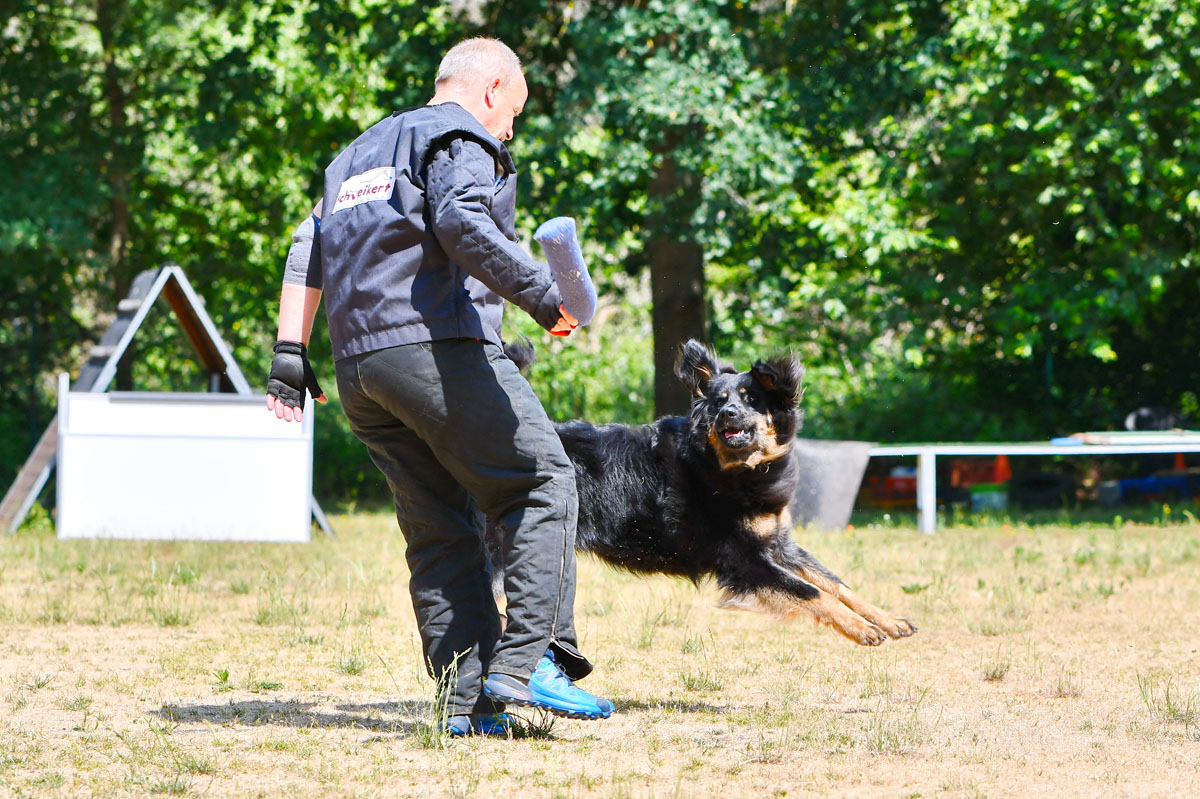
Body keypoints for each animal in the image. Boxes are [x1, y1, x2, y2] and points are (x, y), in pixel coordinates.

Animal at [492, 338, 912, 643]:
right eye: (718, 402)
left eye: (752, 399)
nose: (728, 414)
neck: (729, 469)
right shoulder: (745, 559)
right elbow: (812, 593)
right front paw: (861, 629)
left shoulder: (777, 544)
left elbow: (836, 583)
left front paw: (887, 620)